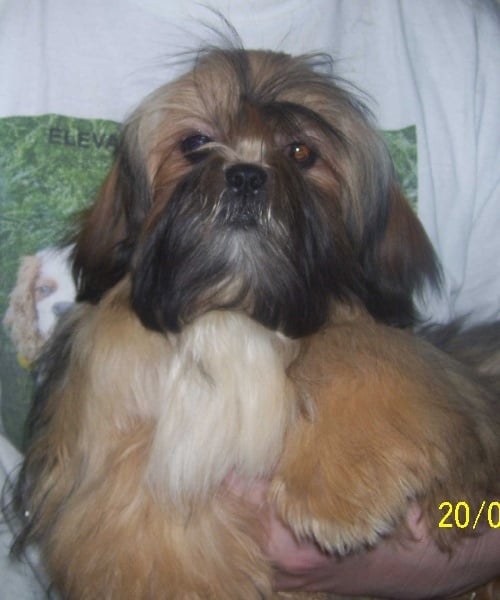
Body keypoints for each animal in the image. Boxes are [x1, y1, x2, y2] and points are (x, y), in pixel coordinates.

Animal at [13, 48, 500, 599]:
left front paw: (338, 490)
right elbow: (136, 486)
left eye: (301, 152)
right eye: (195, 143)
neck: (233, 309)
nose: (246, 175)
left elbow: (365, 354)